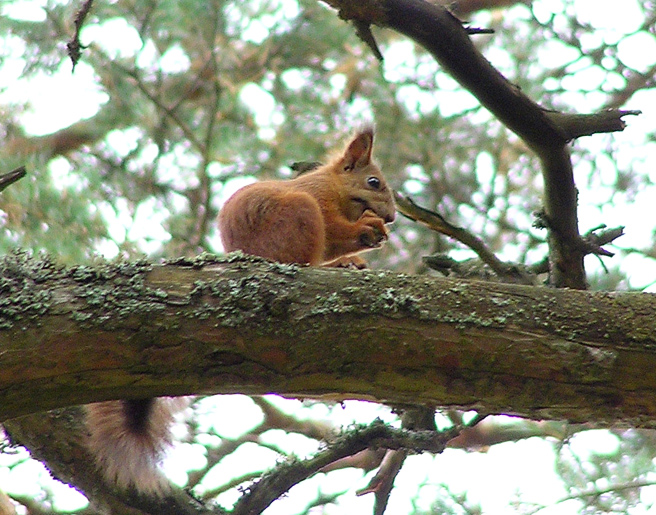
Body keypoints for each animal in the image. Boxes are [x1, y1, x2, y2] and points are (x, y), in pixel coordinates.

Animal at [84, 127, 392, 494]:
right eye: (374, 182)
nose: (391, 217)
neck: (336, 188)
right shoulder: (318, 200)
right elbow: (335, 230)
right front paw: (367, 230)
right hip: (296, 217)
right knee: (300, 260)